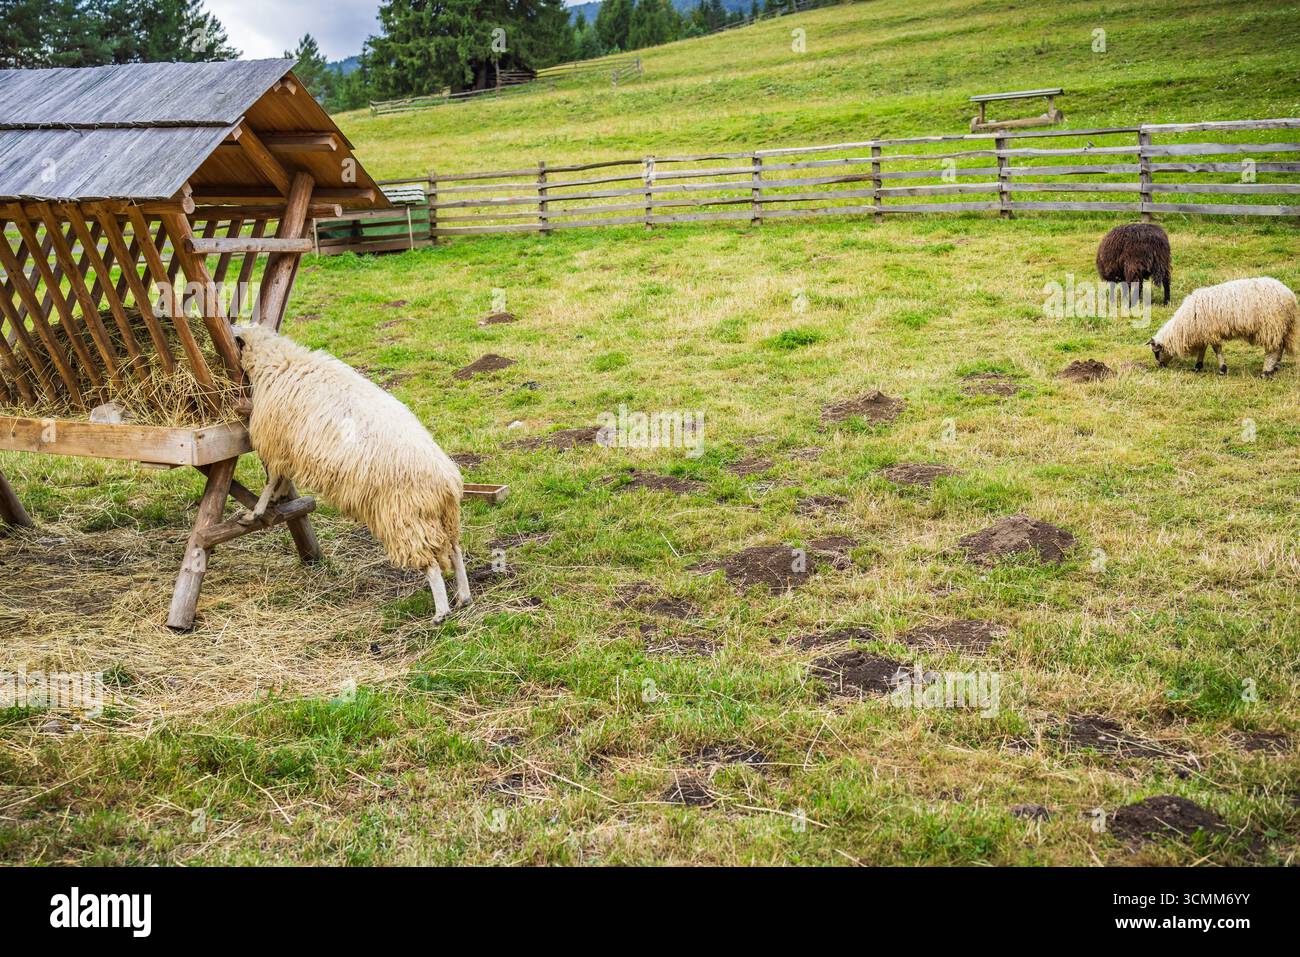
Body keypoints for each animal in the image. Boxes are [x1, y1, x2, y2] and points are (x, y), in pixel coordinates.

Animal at [231, 324, 470, 621]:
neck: (279, 360)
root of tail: (446, 483)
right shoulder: (287, 449)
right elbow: (282, 478)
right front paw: (275, 499)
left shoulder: (276, 441)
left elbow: (271, 479)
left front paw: (256, 511)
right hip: (445, 517)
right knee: (456, 550)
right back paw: (463, 596)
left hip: (404, 517)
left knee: (431, 563)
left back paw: (441, 612)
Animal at [1149, 276, 1299, 377]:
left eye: (1156, 353)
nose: (1160, 366)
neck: (1182, 326)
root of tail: (1290, 296)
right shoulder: (1204, 331)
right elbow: (1202, 349)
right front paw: (1198, 366)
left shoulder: (1210, 331)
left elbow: (1216, 350)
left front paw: (1222, 369)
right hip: (1282, 327)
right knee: (1281, 346)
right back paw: (1276, 366)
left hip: (1271, 326)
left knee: (1273, 349)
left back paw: (1266, 372)